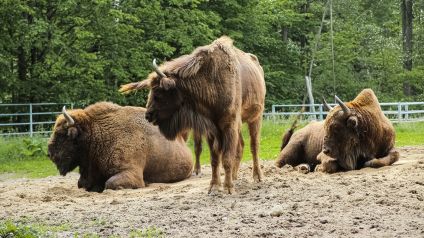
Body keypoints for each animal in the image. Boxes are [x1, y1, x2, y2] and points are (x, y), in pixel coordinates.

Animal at [47, 102, 192, 192]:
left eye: (61, 134)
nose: (49, 154)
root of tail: (181, 138)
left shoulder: (131, 173)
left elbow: (109, 183)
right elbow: (81, 184)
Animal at [119, 36, 264, 193]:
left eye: (158, 92)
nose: (148, 115)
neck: (211, 80)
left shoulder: (229, 124)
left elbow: (226, 158)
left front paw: (228, 188)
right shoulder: (212, 129)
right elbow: (215, 159)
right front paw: (214, 186)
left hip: (256, 118)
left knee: (254, 146)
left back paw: (257, 177)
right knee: (241, 146)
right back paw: (235, 177)